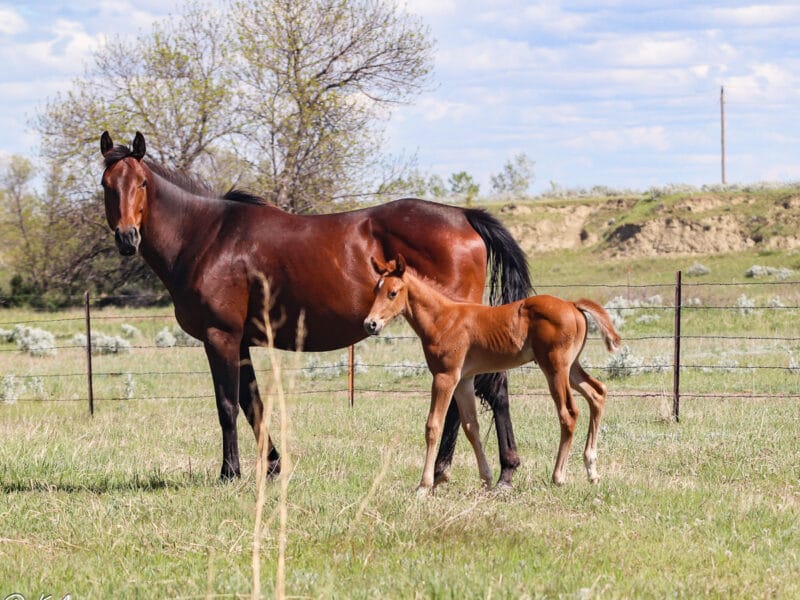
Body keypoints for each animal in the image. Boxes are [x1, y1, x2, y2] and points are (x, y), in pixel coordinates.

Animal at [366, 253, 620, 492]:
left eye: (393, 293)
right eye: (376, 289)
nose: (370, 324)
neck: (443, 319)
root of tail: (572, 305)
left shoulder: (445, 376)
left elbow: (433, 426)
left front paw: (424, 485)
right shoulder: (464, 380)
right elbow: (471, 427)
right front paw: (486, 478)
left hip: (555, 367)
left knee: (569, 412)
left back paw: (558, 476)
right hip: (571, 366)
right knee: (597, 393)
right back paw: (592, 471)